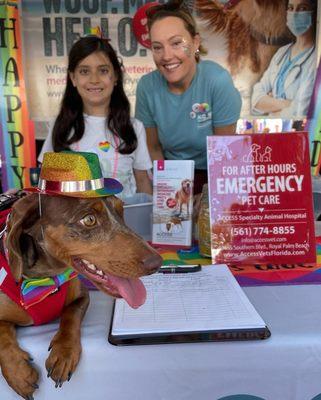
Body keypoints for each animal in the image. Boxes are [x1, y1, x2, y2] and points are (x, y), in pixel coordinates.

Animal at [0, 193, 161, 396]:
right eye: (89, 219)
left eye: (121, 210)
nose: (157, 263)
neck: (44, 282)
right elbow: (2, 334)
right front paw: (18, 373)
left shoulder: (82, 296)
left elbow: (71, 314)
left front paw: (64, 353)